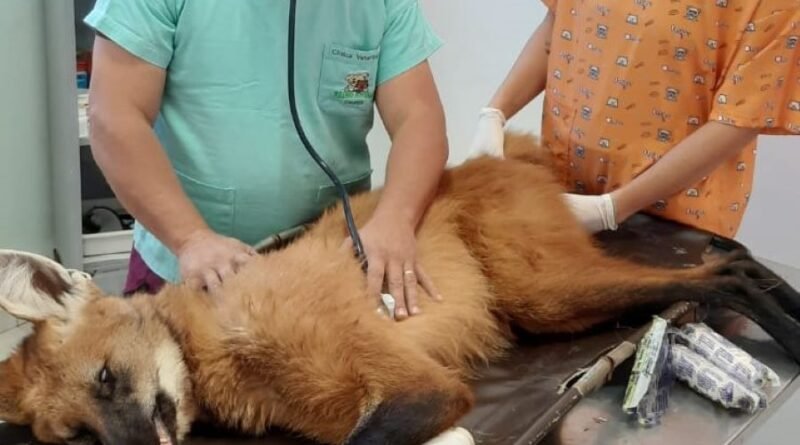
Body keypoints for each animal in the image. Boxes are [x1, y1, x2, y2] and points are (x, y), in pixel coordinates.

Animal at [1, 133, 799, 445]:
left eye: (107, 379)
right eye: (78, 436)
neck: (216, 350)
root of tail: (490, 158)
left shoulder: (422, 385)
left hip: (545, 293)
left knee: (723, 272)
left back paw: (788, 325)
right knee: (726, 270)